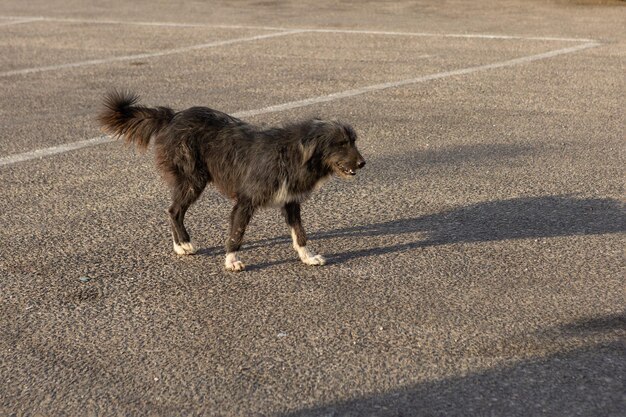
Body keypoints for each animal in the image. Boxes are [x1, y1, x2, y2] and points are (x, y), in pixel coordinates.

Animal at [95, 91, 364, 272]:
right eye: (340, 144)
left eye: (354, 141)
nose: (363, 163)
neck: (292, 154)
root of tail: (173, 116)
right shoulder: (245, 202)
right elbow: (237, 233)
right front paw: (232, 260)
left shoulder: (290, 202)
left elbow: (300, 233)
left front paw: (308, 257)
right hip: (193, 180)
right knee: (174, 211)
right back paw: (184, 244)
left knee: (173, 210)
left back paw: (179, 244)